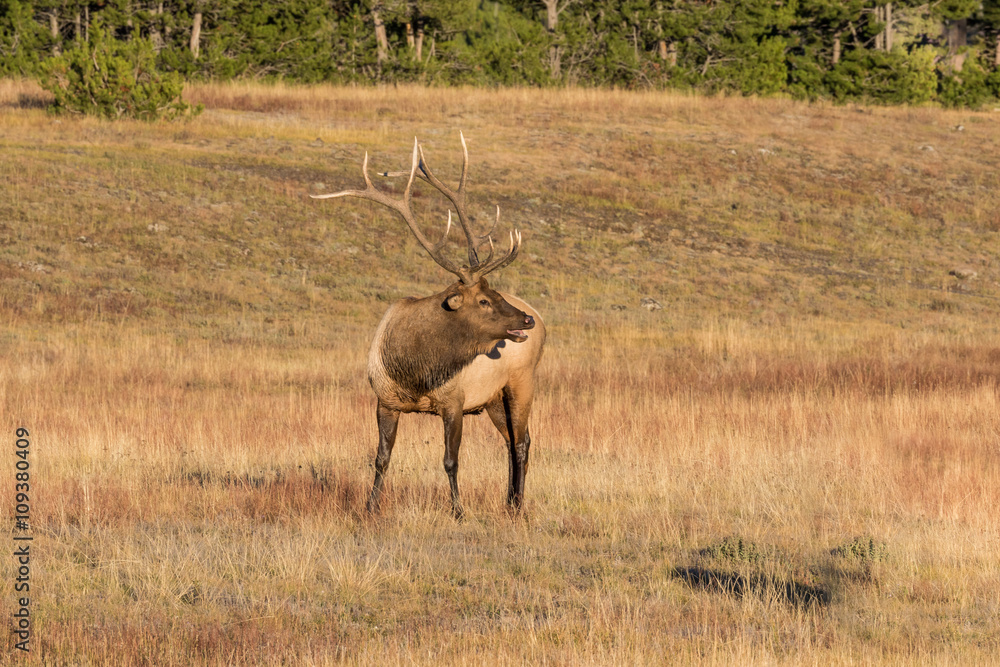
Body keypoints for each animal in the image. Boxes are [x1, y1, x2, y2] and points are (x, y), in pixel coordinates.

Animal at [312, 133, 546, 519]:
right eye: (484, 300)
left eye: (494, 293)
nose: (525, 319)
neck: (415, 368)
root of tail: (542, 316)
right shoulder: (385, 400)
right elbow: (381, 458)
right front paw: (370, 507)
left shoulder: (454, 401)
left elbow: (451, 460)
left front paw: (458, 511)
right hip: (493, 398)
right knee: (511, 441)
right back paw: (509, 501)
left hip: (522, 381)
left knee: (524, 442)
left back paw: (518, 506)